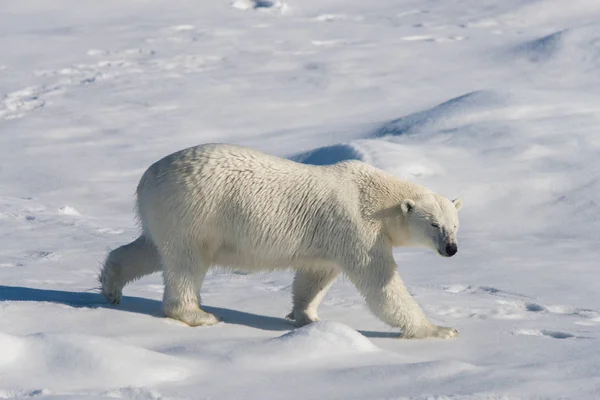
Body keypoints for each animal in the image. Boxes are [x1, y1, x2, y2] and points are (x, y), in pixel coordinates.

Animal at [98, 143, 464, 338]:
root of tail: (146, 178)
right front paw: (440, 330)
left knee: (149, 249)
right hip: (193, 211)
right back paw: (199, 314)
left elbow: (313, 277)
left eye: (455, 225)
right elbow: (381, 286)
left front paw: (307, 318)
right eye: (434, 224)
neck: (375, 195)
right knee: (186, 263)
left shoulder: (330, 241)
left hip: (165, 215)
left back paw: (111, 288)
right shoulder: (358, 227)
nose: (452, 249)